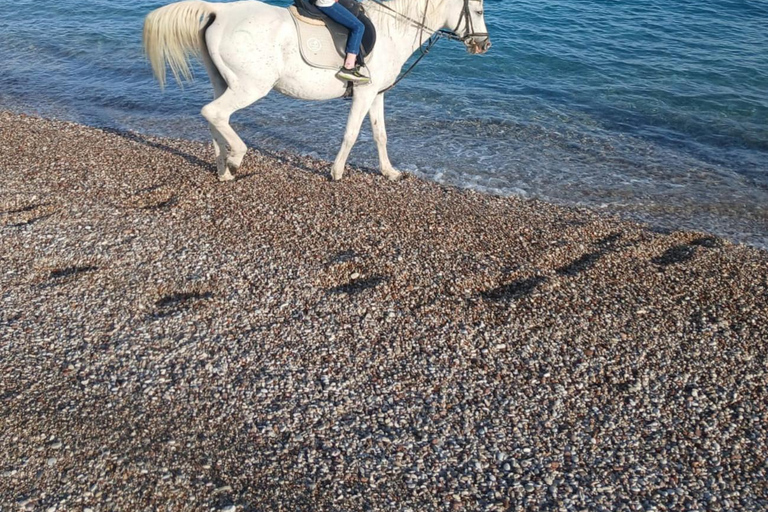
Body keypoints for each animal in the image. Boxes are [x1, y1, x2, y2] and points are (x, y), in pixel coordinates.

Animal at [143, 0, 490, 182]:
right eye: (479, 11)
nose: (484, 45)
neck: (393, 29)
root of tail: (220, 11)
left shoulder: (377, 93)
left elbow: (380, 135)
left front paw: (389, 172)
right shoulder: (364, 94)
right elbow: (351, 133)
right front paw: (337, 171)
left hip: (224, 82)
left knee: (215, 118)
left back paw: (223, 169)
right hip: (251, 86)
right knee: (213, 113)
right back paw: (236, 159)